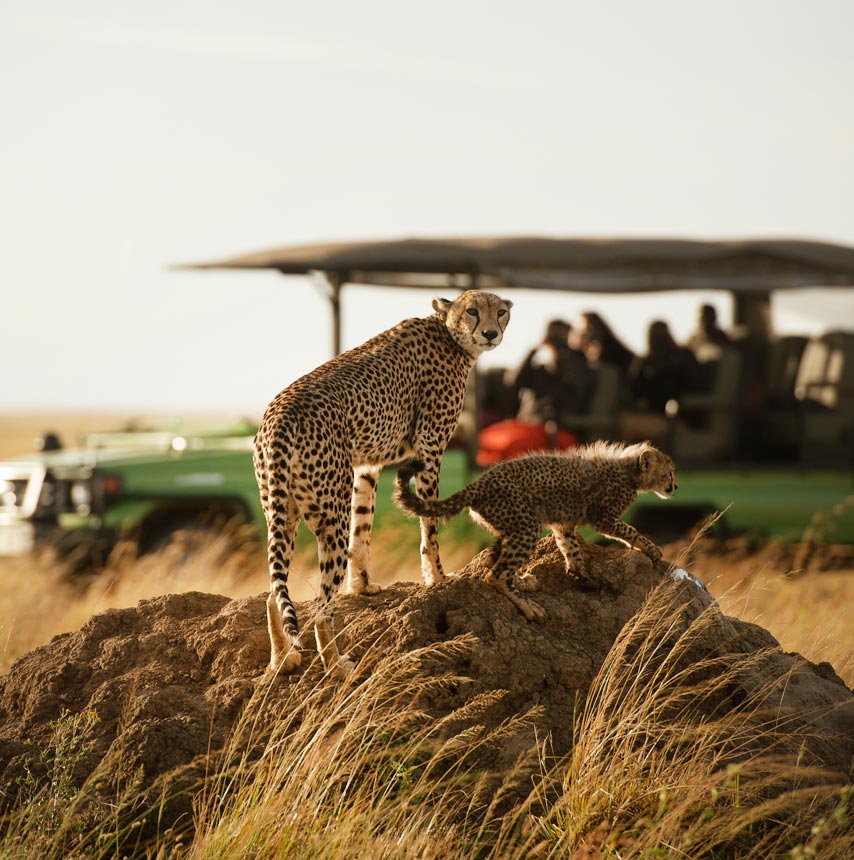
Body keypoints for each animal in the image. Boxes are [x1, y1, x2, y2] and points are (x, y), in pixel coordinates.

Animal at [251, 288, 512, 680]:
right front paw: (437, 577)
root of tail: (280, 412)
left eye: (501, 311)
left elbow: (362, 531)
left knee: (273, 590)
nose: (491, 333)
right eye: (472, 311)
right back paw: (335, 665)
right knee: (321, 606)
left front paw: (361, 585)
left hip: (282, 510)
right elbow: (430, 523)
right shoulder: (430, 448)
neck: (449, 334)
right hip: (328, 513)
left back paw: (283, 659)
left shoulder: (366, 465)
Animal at [396, 444, 684, 620]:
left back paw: (524, 581)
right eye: (669, 472)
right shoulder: (602, 517)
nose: (676, 487)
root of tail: (479, 482)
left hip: (510, 526)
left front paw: (582, 575)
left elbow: (571, 548)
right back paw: (528, 606)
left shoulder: (563, 524)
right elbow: (629, 530)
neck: (628, 472)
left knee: (492, 560)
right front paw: (650, 548)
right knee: (495, 574)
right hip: (526, 525)